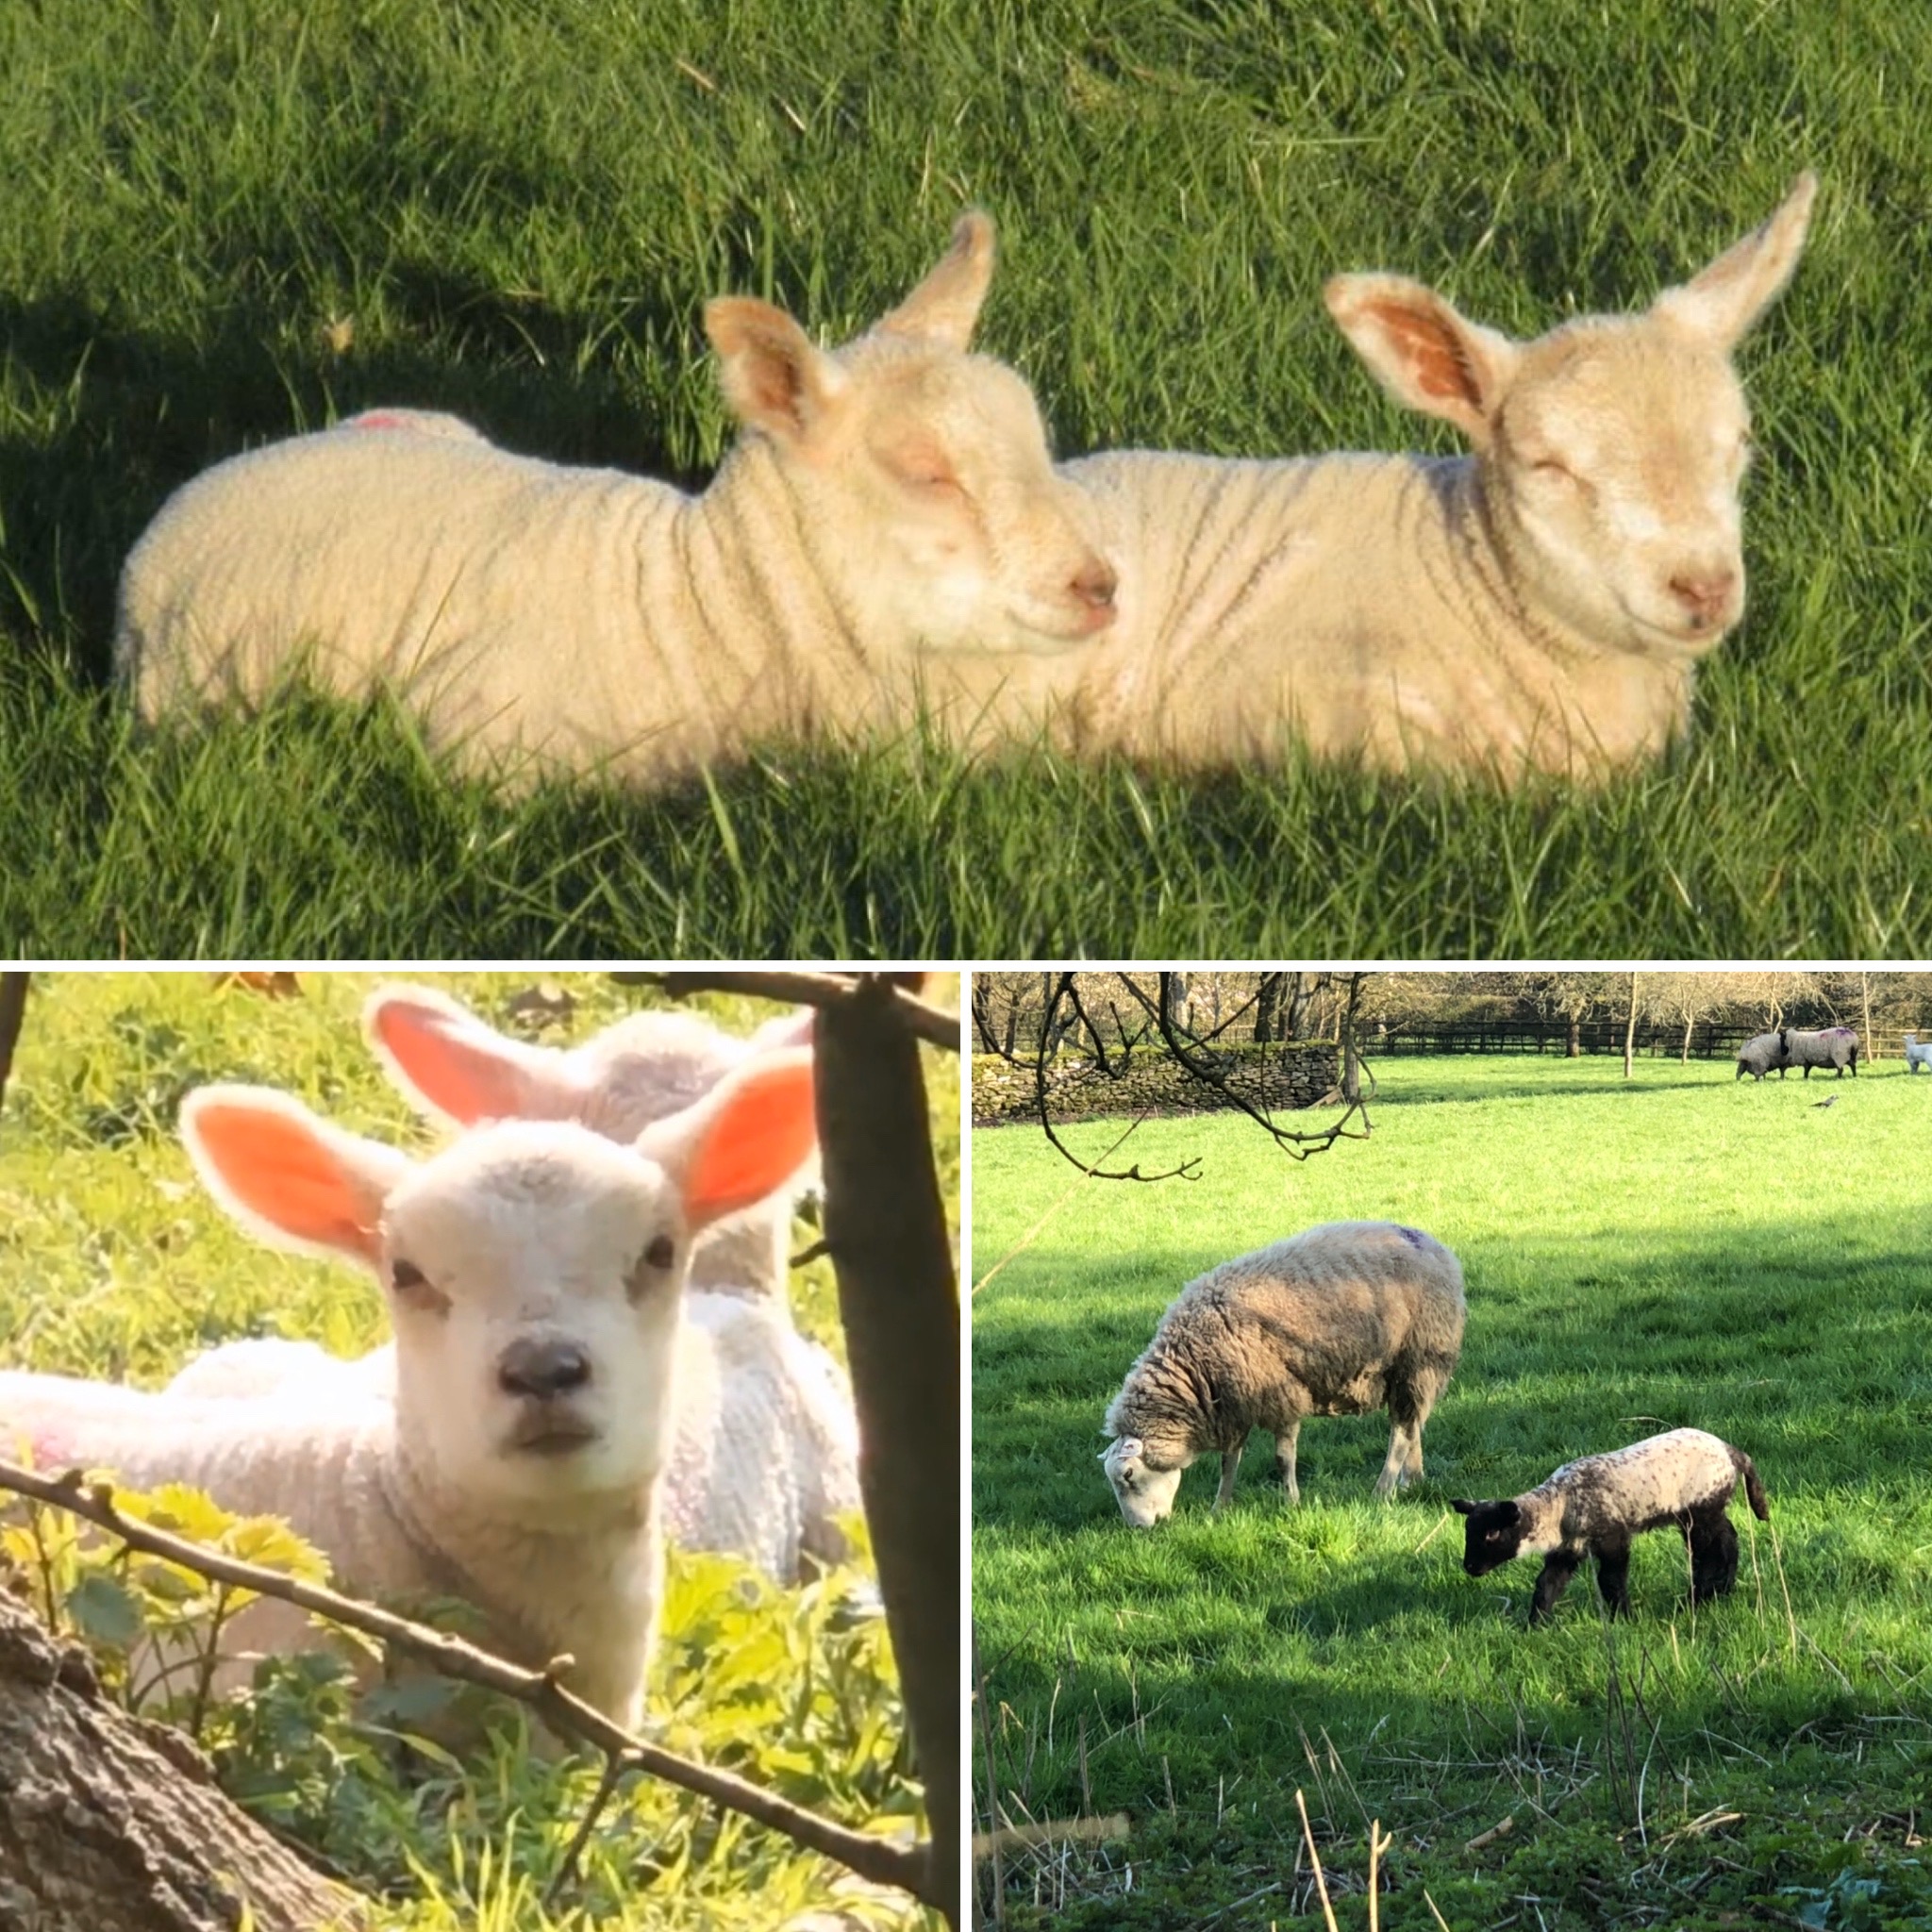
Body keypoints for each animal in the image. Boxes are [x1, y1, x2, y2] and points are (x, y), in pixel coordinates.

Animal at [1097, 1221, 1466, 1525]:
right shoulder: (1234, 1405)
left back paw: (1383, 1489)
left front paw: (1291, 1502)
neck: (1193, 1367)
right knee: (1411, 1424)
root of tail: (1437, 1247)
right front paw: (1219, 1508)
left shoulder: (1280, 1392)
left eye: (1128, 1474)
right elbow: (1229, 1461)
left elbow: (1282, 1458)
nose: (1139, 1529)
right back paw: (1412, 1481)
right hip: (1406, 1374)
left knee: (1401, 1432)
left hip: (1417, 1358)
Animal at [1452, 1427, 1769, 1624]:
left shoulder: (1612, 1536)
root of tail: (1732, 1452)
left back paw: (1703, 1596)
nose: (1469, 1567)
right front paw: (1535, 1624)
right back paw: (1718, 1590)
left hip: (1702, 1507)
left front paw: (1625, 1619)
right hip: (1699, 1511)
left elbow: (1611, 1580)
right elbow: (1546, 1584)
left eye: (1493, 1533)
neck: (1559, 1503)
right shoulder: (1569, 1548)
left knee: (1716, 1548)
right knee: (1726, 1538)